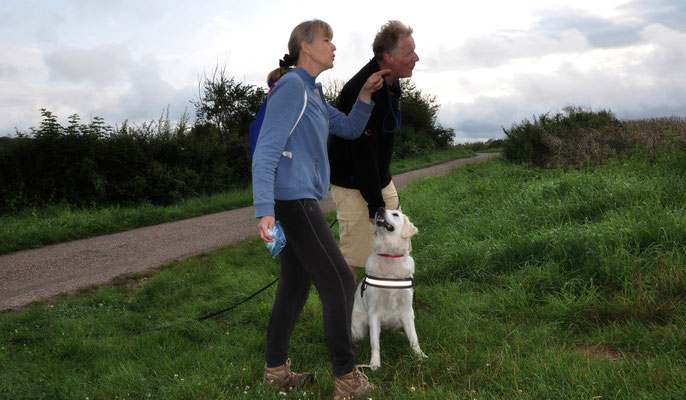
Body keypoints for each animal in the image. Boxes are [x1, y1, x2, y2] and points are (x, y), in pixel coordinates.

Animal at [352, 208, 428, 370]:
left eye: (395, 214)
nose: (379, 209)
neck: (390, 257)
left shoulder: (407, 310)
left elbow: (414, 337)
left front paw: (420, 355)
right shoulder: (374, 312)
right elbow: (375, 342)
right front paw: (374, 363)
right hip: (359, 327)